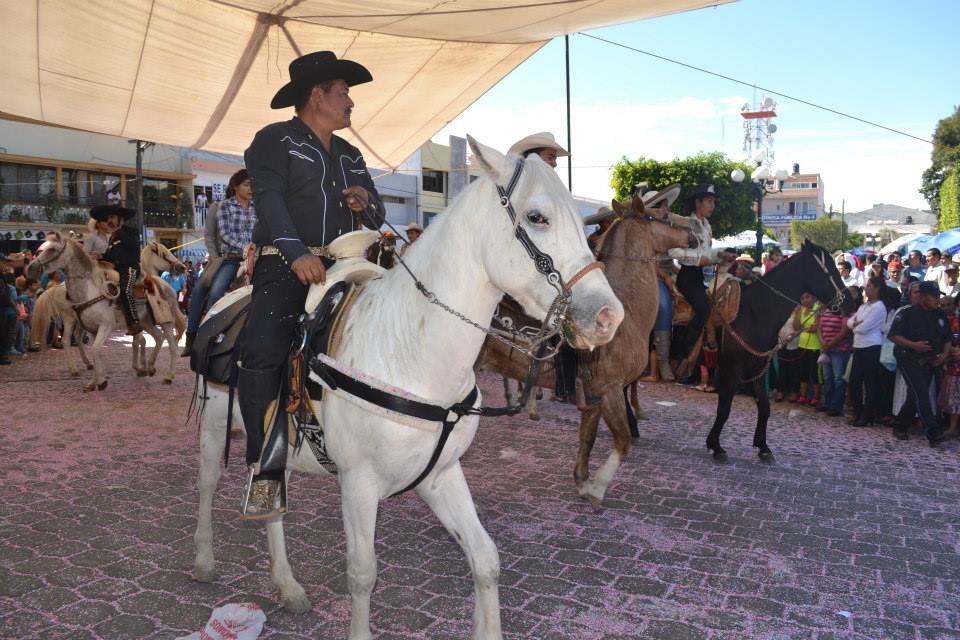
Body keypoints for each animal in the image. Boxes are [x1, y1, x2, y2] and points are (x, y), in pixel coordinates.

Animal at [26, 232, 188, 388]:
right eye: (164, 254)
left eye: (52, 249)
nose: (30, 268)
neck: (91, 290)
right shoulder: (93, 328)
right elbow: (97, 349)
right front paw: (97, 380)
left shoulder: (106, 326)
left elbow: (106, 347)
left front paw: (108, 377)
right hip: (141, 321)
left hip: (163, 322)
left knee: (171, 345)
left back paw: (167, 375)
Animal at [194, 138, 628, 636]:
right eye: (538, 217)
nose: (608, 316)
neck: (410, 351)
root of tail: (225, 303)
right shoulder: (358, 483)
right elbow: (362, 574)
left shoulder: (441, 474)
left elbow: (485, 558)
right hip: (214, 428)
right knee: (208, 485)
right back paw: (204, 561)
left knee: (273, 505)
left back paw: (287, 585)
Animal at [480, 198, 696, 508]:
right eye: (663, 214)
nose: (695, 231)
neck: (626, 315)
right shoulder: (611, 391)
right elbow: (623, 441)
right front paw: (597, 488)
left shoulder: (593, 399)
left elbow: (587, 439)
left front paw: (582, 481)